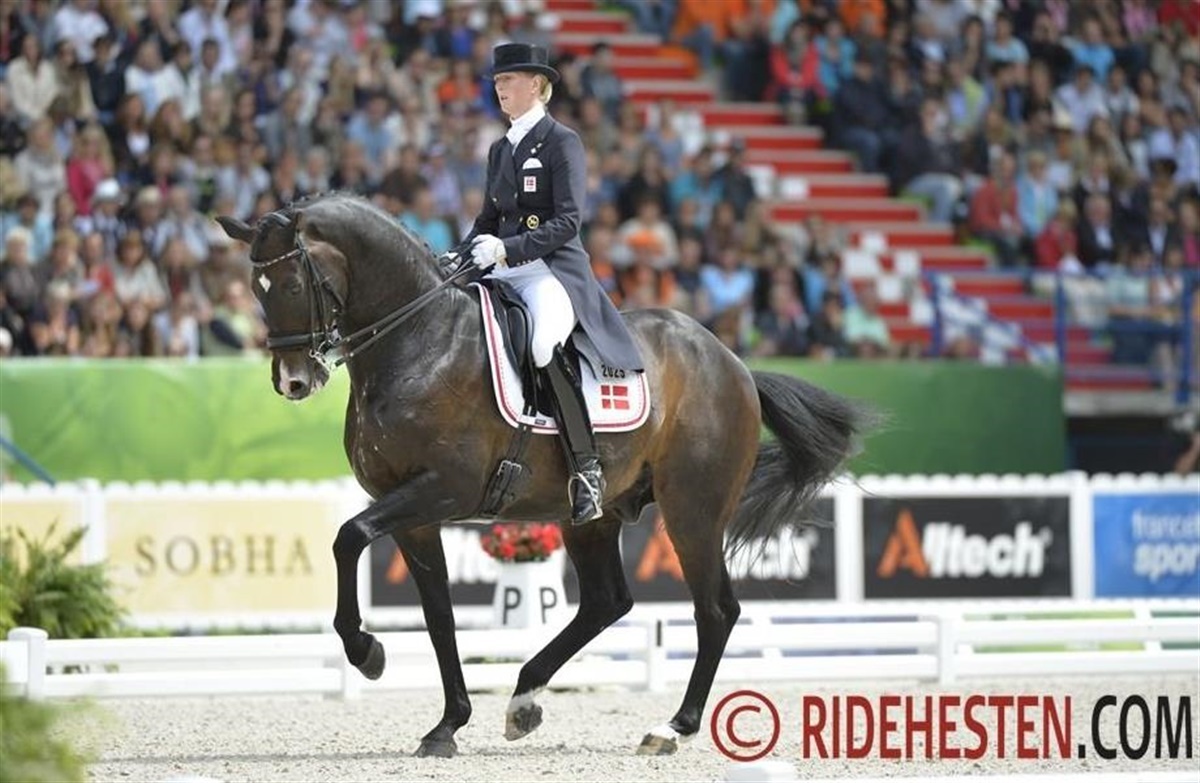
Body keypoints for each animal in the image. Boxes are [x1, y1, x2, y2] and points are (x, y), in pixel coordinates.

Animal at [216, 194, 872, 758]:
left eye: (293, 284)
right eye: (255, 289)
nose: (294, 382)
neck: (418, 343)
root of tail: (731, 360)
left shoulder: (442, 490)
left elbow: (347, 537)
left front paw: (367, 652)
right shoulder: (410, 511)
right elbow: (438, 615)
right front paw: (447, 725)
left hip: (694, 509)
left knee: (716, 610)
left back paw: (672, 727)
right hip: (594, 515)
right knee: (607, 601)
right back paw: (524, 700)